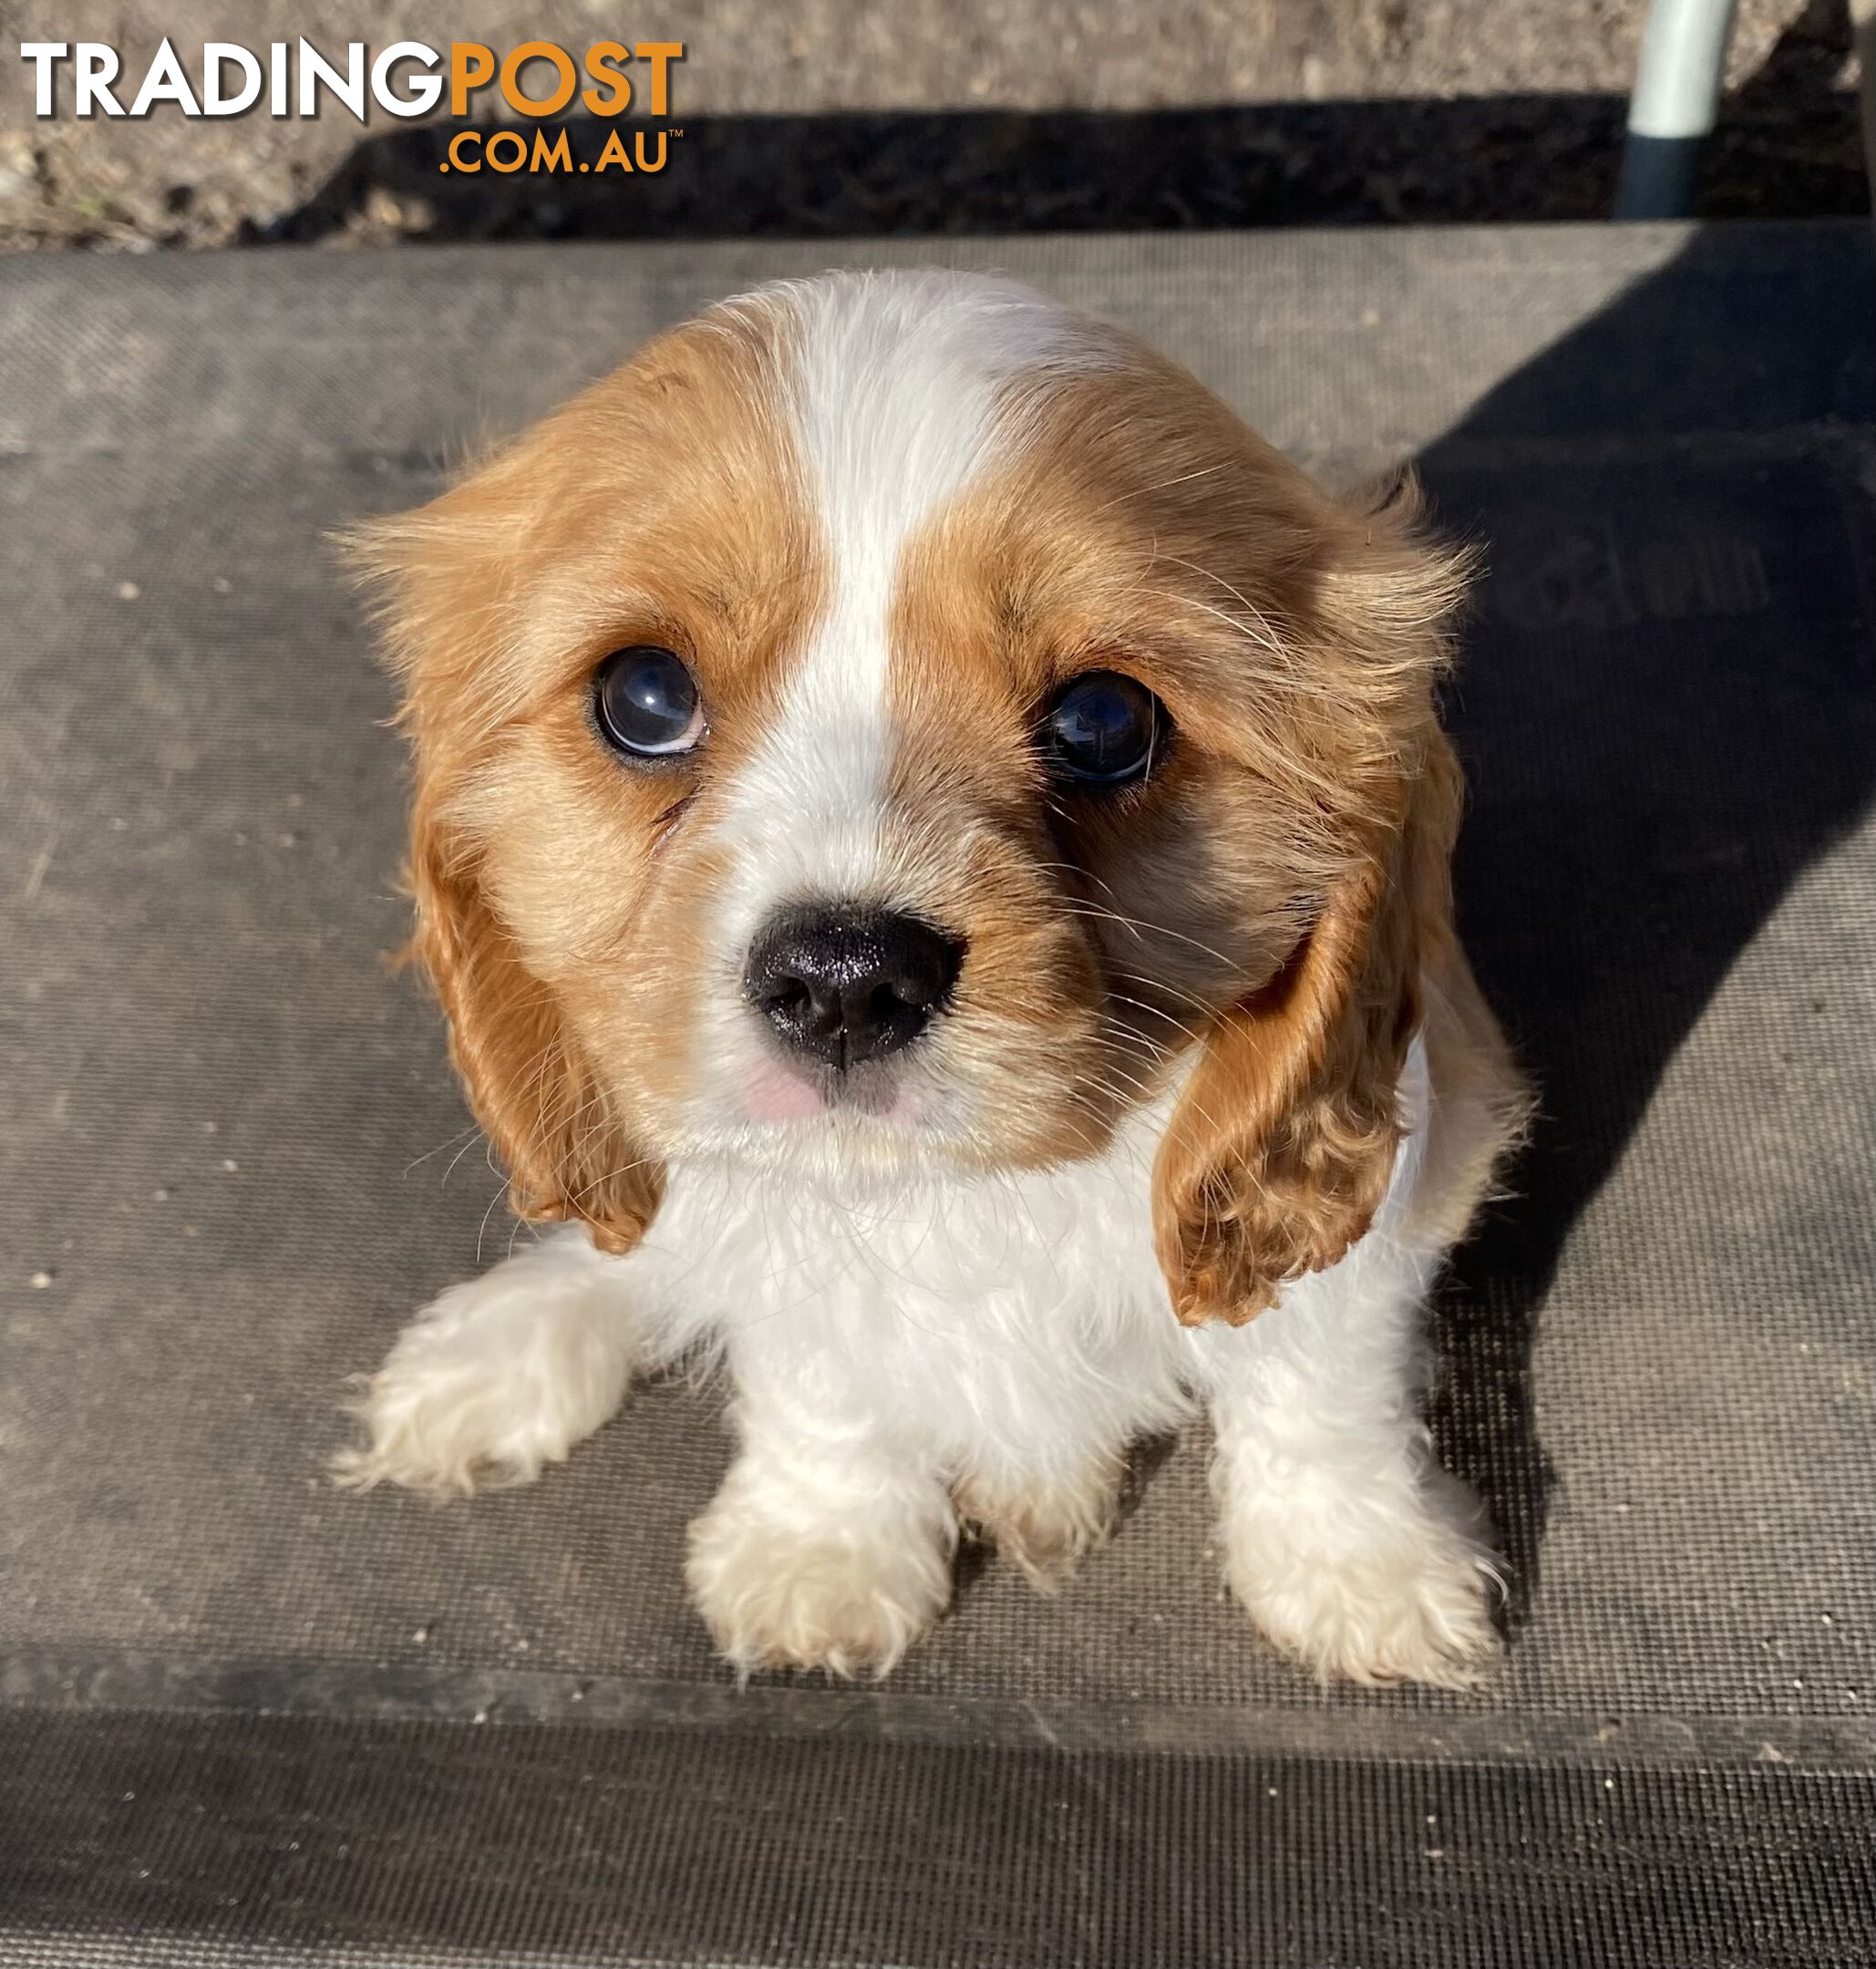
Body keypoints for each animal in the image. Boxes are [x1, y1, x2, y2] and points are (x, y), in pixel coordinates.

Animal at [336, 273, 1527, 1693]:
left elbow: (1313, 1383)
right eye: (645, 698)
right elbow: (819, 1370)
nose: (846, 976)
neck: (950, 1192)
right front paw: (823, 1546)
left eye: (1104, 723)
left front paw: (1354, 1567)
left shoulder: (1385, 1182)